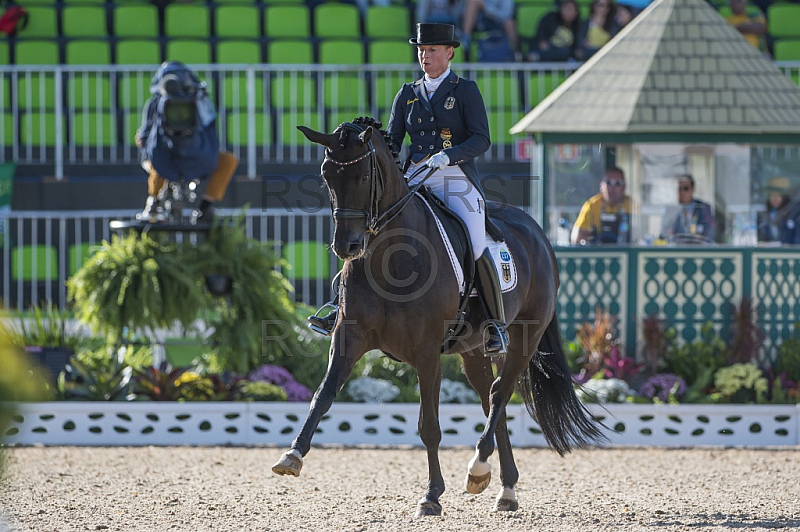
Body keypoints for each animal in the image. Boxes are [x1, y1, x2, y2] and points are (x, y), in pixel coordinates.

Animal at [272, 121, 604, 516]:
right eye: (326, 176)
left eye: (364, 175)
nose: (346, 247)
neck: (390, 257)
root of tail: (537, 232)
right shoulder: (348, 339)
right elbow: (322, 395)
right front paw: (292, 455)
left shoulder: (426, 352)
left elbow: (429, 425)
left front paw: (431, 495)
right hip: (472, 350)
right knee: (491, 400)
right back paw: (503, 487)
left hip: (527, 336)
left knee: (501, 392)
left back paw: (479, 468)